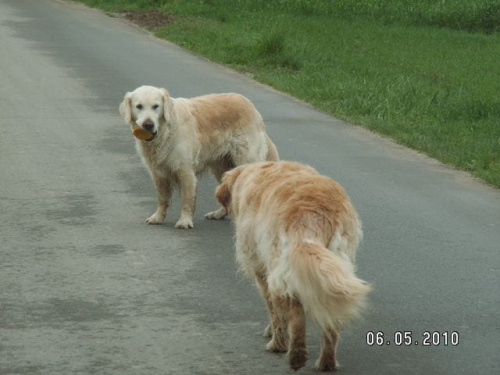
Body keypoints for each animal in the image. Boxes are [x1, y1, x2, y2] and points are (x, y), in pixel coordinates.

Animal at [119, 86, 280, 229]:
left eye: (156, 106)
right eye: (139, 106)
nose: (148, 124)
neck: (165, 132)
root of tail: (252, 107)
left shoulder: (185, 171)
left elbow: (186, 199)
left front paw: (184, 221)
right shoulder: (158, 173)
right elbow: (162, 198)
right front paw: (157, 217)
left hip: (246, 159)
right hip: (220, 167)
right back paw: (218, 214)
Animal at [215, 162, 372, 374]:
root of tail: (314, 213)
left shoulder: (262, 271)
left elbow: (274, 311)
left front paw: (275, 336)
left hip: (281, 266)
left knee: (294, 311)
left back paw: (290, 352)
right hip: (335, 269)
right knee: (330, 319)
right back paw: (326, 363)